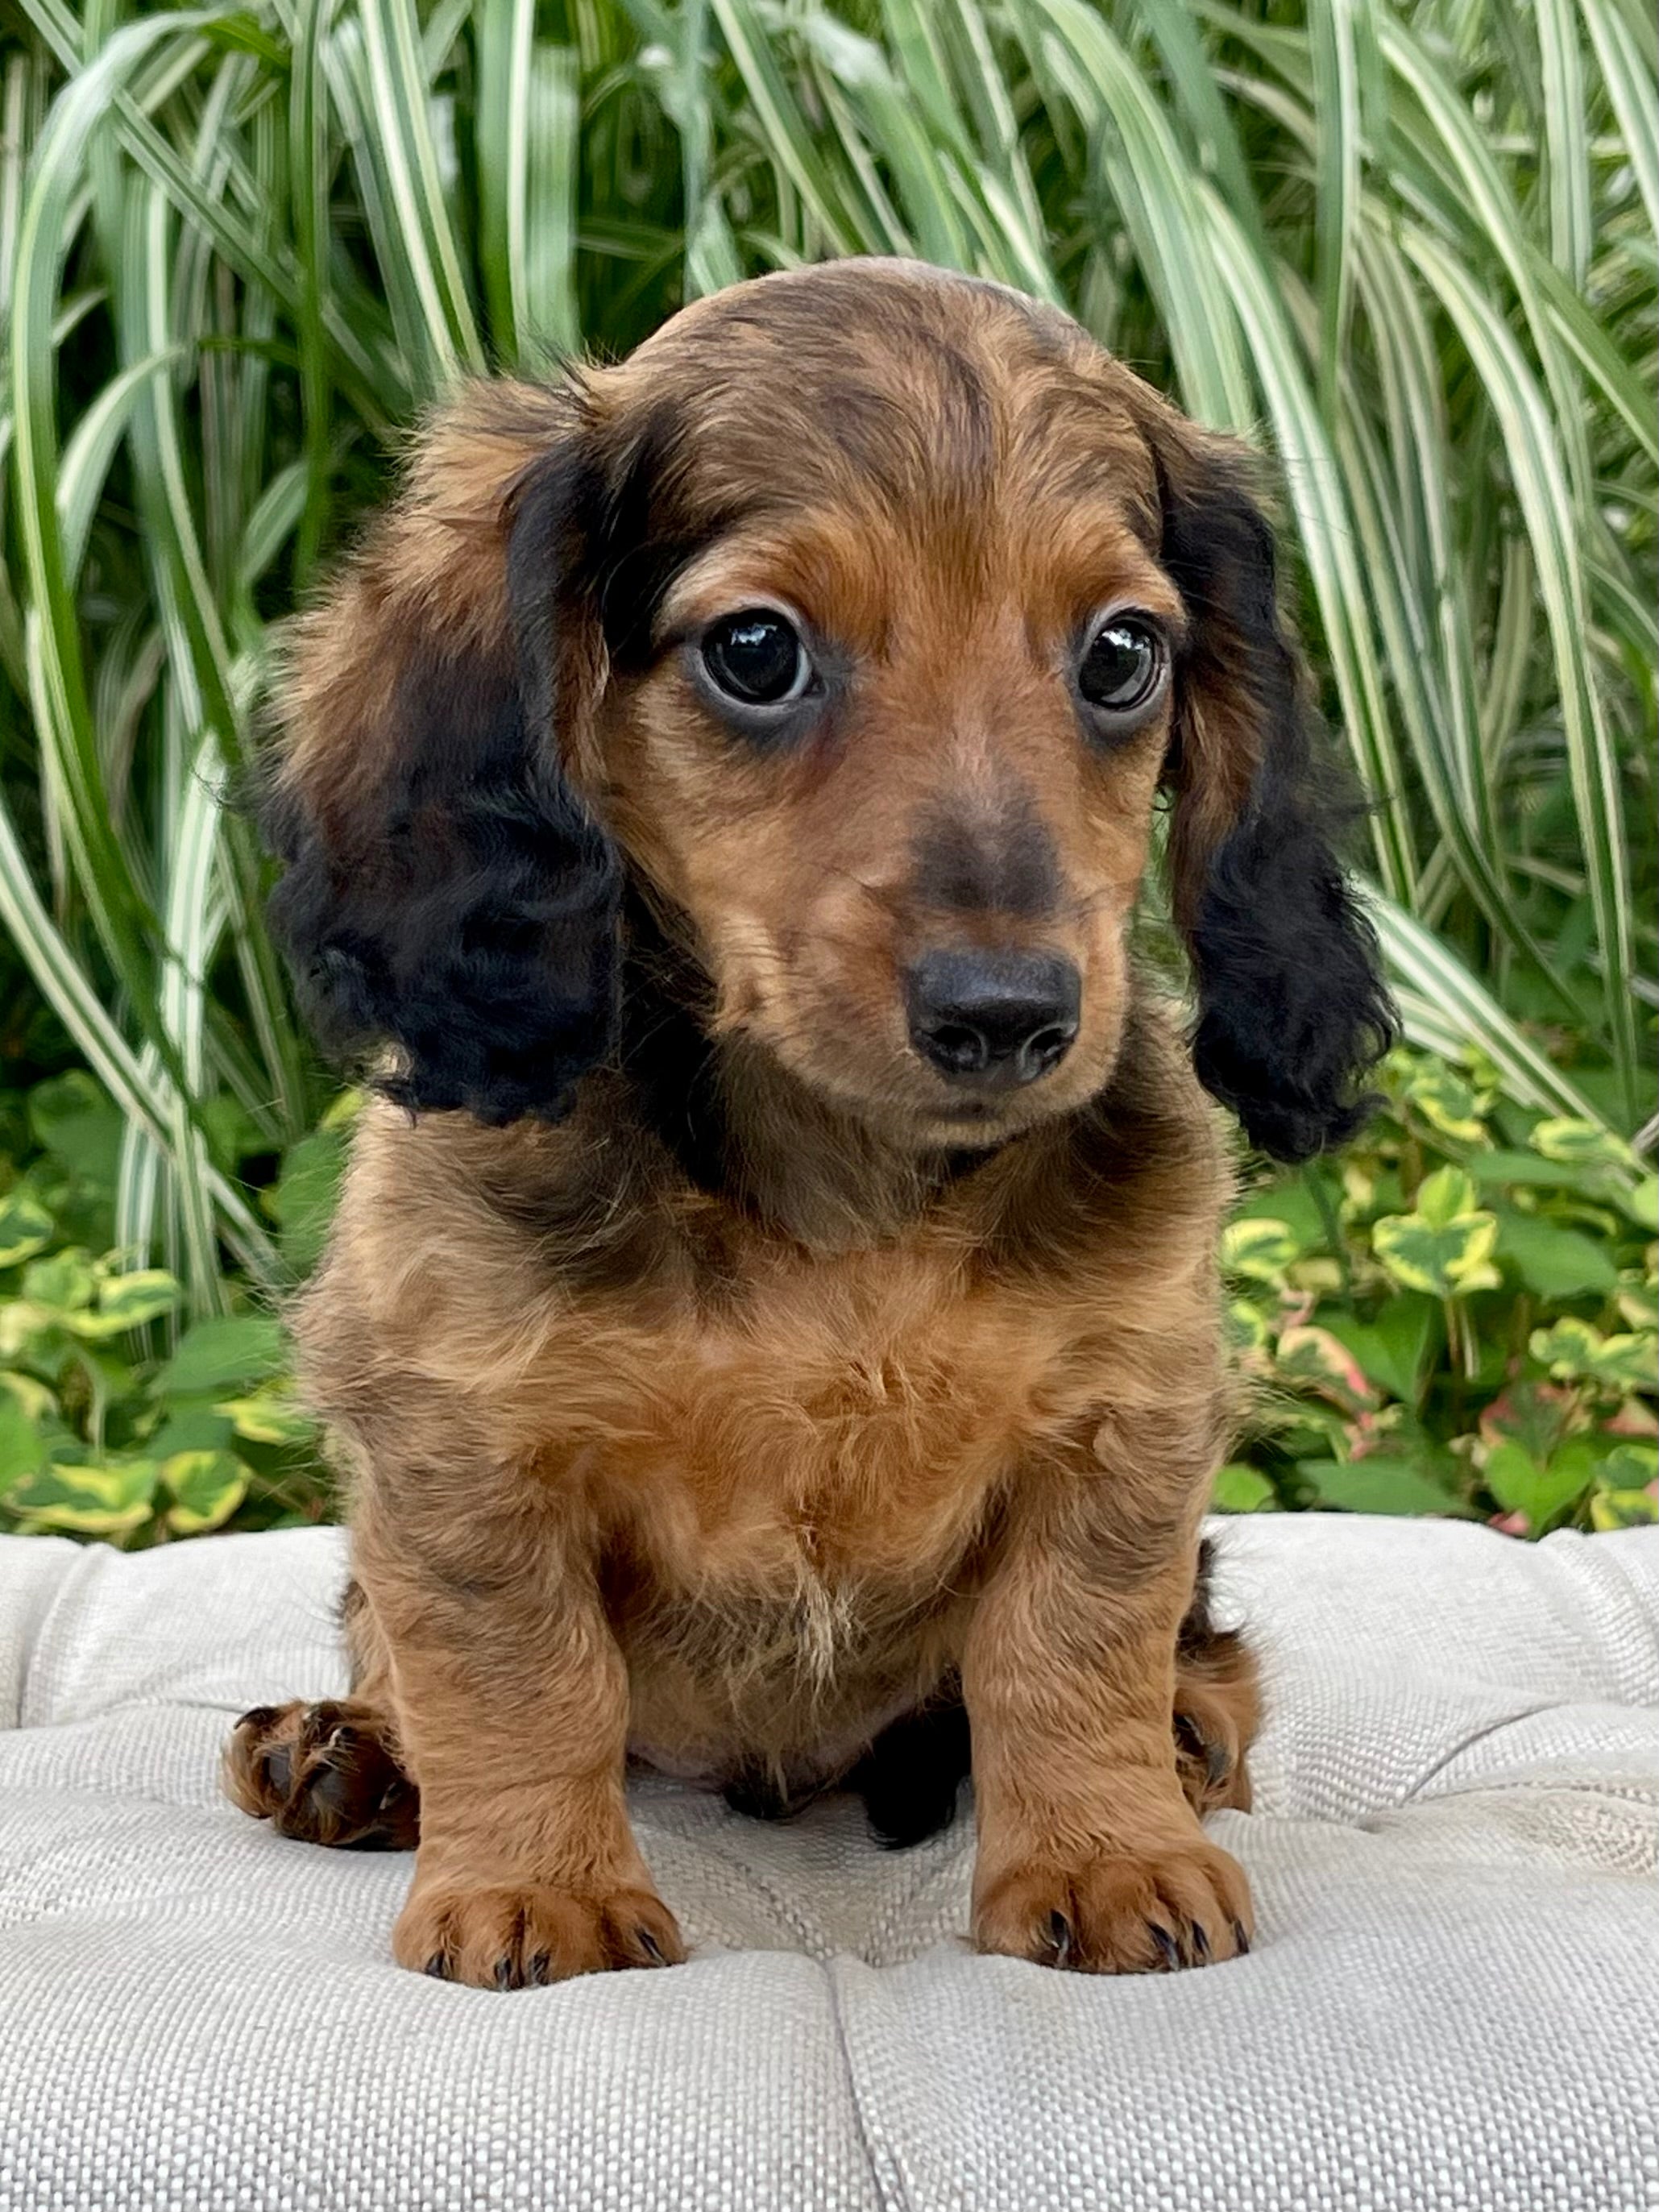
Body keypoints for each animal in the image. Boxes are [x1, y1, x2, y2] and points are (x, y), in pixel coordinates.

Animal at [227, 259, 1398, 1990]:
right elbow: (516, 1673)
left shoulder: (1126, 1421)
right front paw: (540, 1888)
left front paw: (1104, 1850)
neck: (841, 1191)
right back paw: (346, 1750)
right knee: (391, 1651)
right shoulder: (454, 1434)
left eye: (1121, 654)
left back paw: (1187, 1738)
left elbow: (1068, 1650)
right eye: (756, 652)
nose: (1006, 1016)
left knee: (1199, 1668)